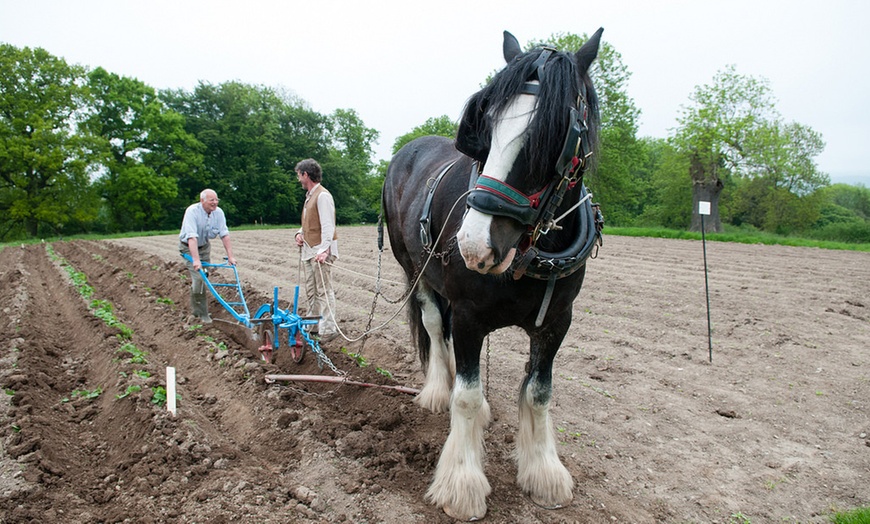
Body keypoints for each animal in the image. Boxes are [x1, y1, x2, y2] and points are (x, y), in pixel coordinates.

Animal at [384, 27, 604, 520]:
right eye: (486, 124)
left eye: (557, 133)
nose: (473, 244)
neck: (534, 254)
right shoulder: (468, 314)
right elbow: (466, 395)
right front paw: (462, 485)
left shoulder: (557, 320)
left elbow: (539, 392)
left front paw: (544, 473)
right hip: (415, 270)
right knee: (434, 325)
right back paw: (436, 391)